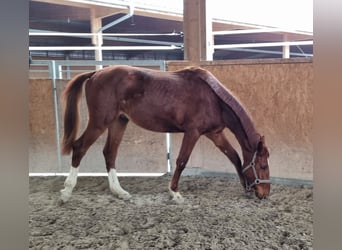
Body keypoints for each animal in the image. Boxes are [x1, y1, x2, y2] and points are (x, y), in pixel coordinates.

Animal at [60, 65, 272, 203]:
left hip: (118, 121)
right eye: (262, 166)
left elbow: (235, 157)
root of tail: (96, 73)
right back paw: (67, 191)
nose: (265, 193)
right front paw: (174, 193)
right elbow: (181, 161)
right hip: (100, 122)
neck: (213, 99)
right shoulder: (193, 132)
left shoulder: (215, 134)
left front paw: (245, 187)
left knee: (110, 153)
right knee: (79, 147)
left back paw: (119, 192)